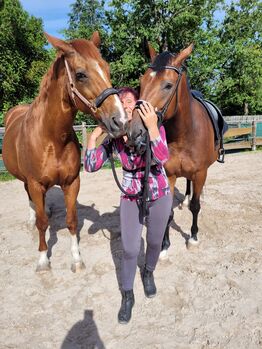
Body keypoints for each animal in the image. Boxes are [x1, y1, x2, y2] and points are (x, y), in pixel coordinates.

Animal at [2, 32, 128, 272]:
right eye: (80, 75)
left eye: (107, 69)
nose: (121, 121)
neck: (52, 139)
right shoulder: (36, 183)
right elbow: (43, 224)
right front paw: (43, 260)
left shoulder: (72, 182)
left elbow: (71, 220)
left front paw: (76, 259)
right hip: (27, 180)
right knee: (30, 200)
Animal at [127, 43, 225, 256]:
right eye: (142, 81)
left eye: (168, 85)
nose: (135, 132)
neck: (184, 134)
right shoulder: (170, 175)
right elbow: (167, 212)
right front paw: (164, 246)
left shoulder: (200, 173)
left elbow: (196, 207)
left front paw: (193, 238)